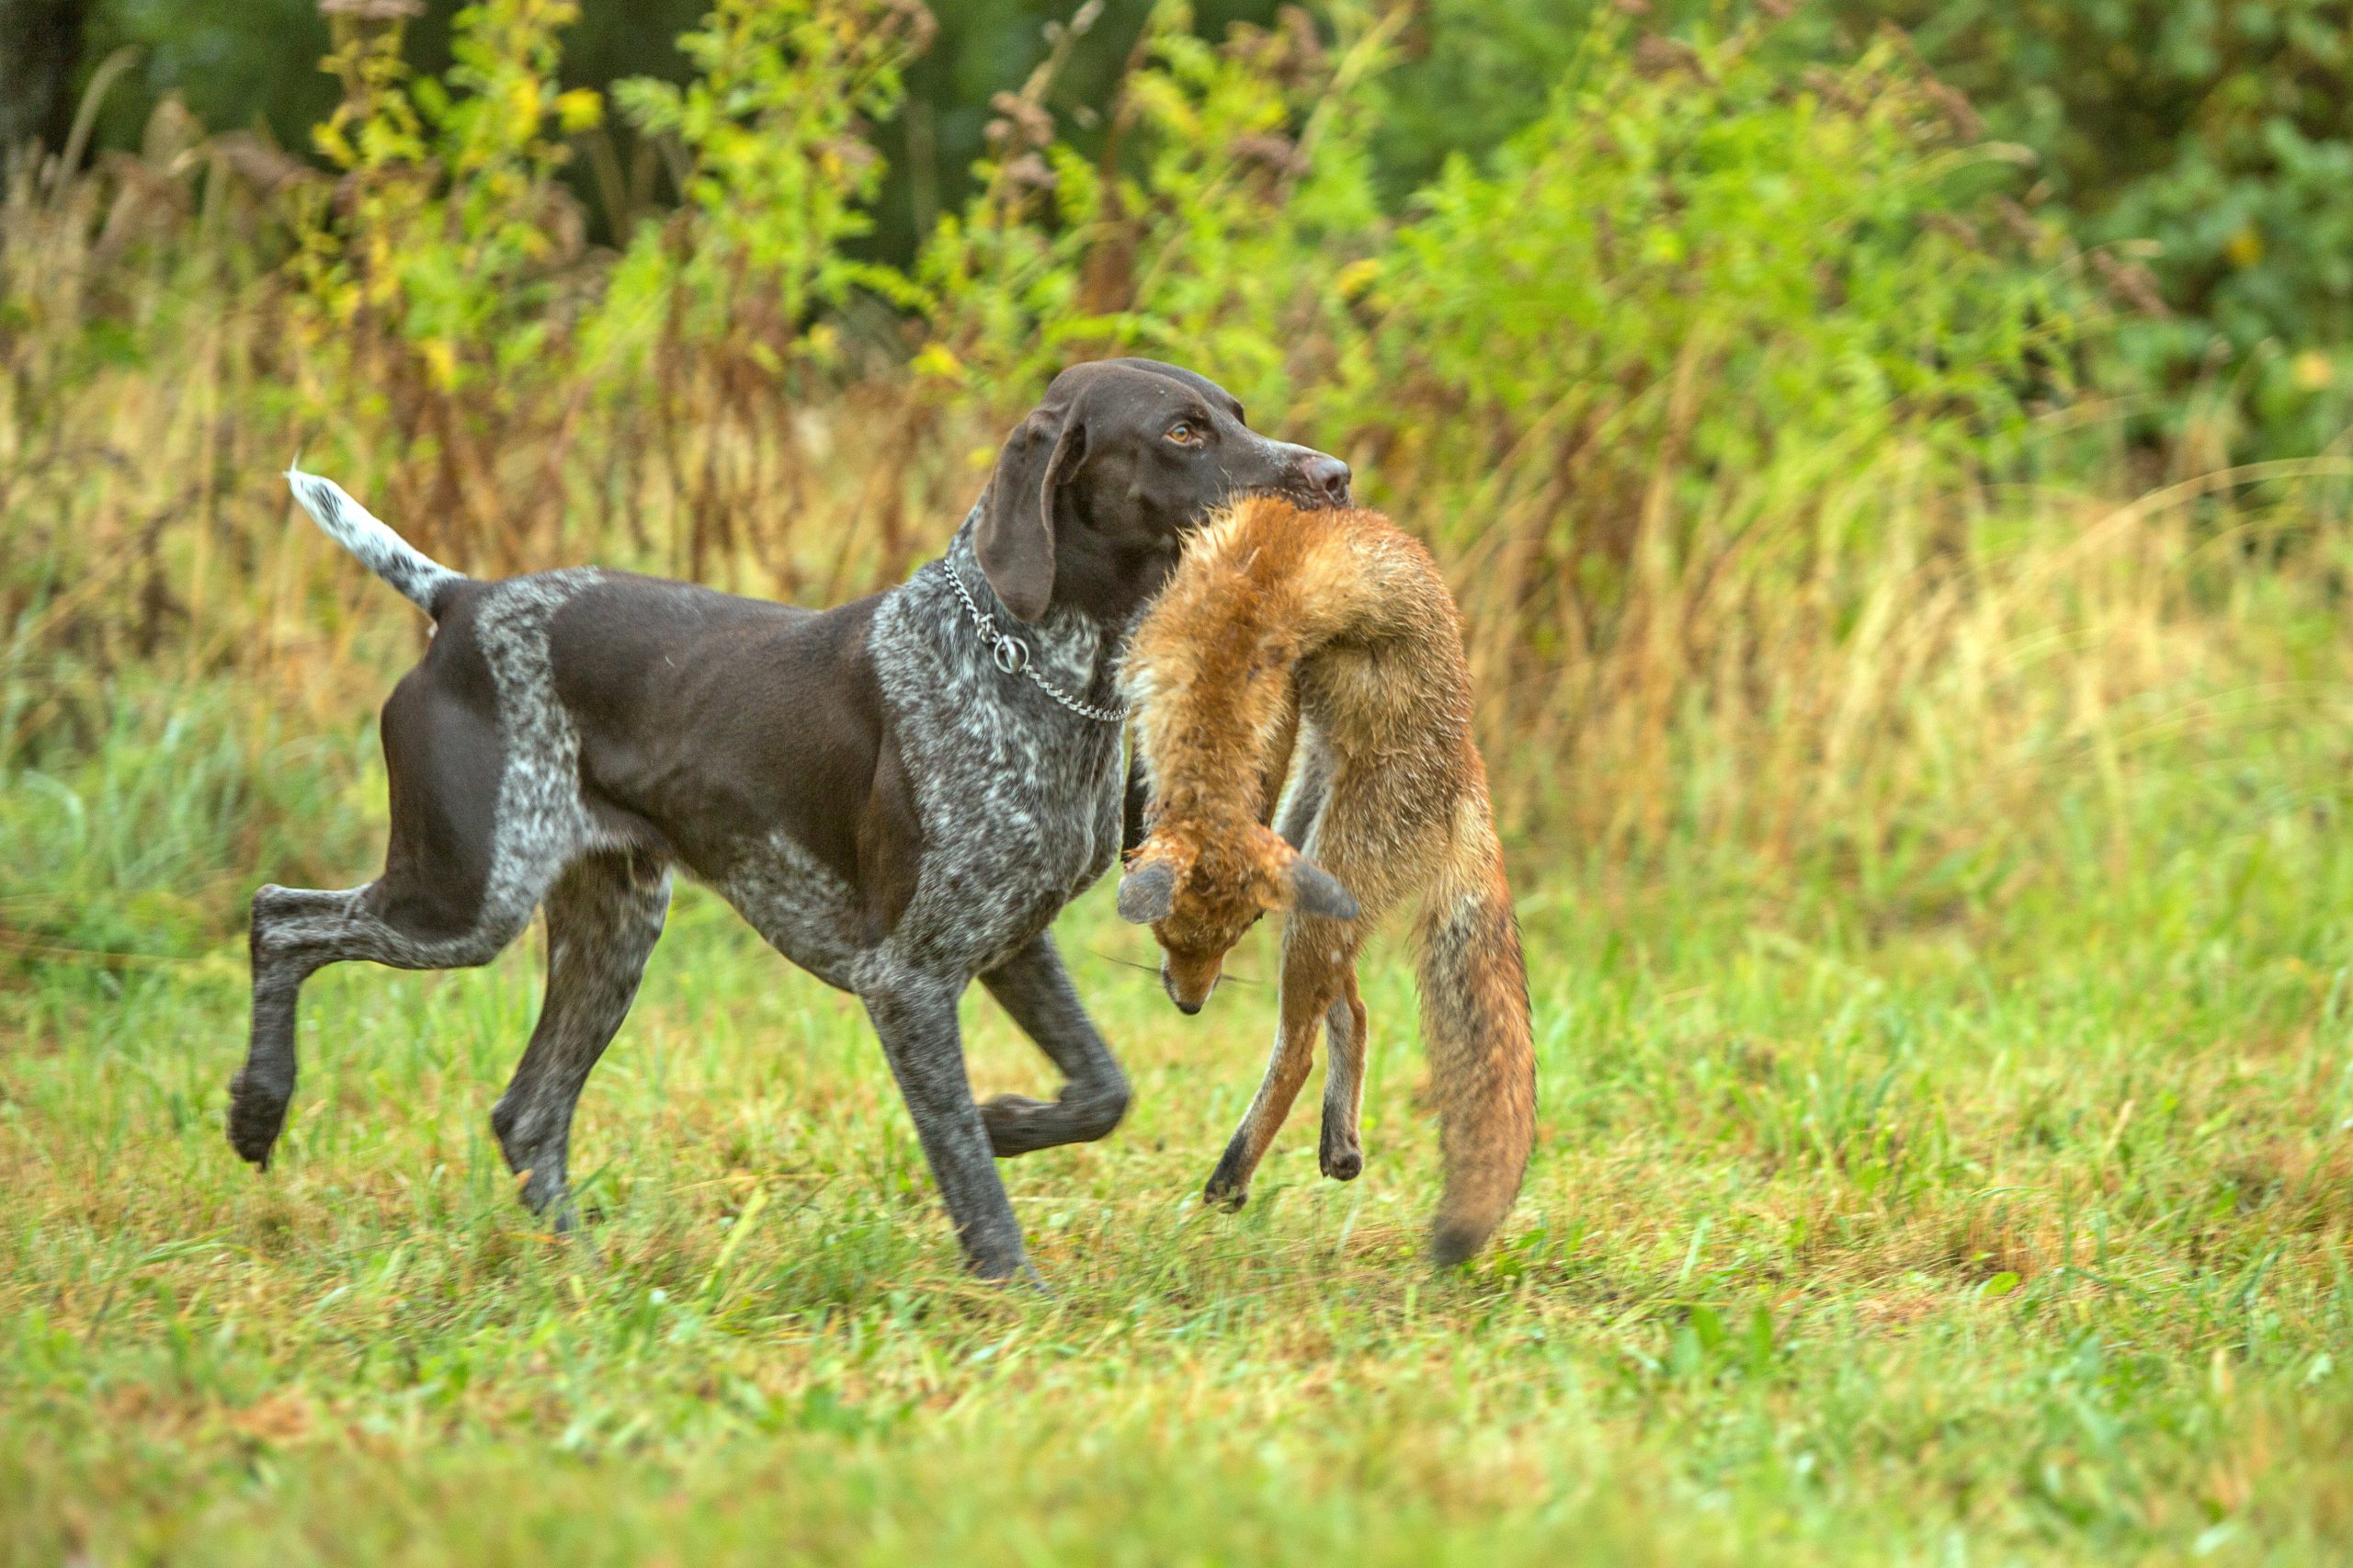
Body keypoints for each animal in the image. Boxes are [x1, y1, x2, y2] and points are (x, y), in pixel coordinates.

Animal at [233, 359, 1364, 1280]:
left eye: (1235, 415)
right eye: (1183, 431)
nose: (1337, 475)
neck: (1036, 664)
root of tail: (462, 599)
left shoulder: (1008, 940)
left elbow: (1100, 1089)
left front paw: (1006, 1121)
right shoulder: (909, 979)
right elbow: (971, 1178)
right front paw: (1015, 1290)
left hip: (612, 928)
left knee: (528, 1115)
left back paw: (585, 1274)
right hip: (467, 898)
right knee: (280, 916)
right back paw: (258, 1106)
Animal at [1120, 494, 1543, 1261]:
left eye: (1226, 943)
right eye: (1168, 939)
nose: (1192, 1007)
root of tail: (1468, 774)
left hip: (1327, 881)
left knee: (1298, 1050)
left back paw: (1234, 1174)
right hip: (1307, 851)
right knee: (1353, 1006)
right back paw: (1338, 1141)